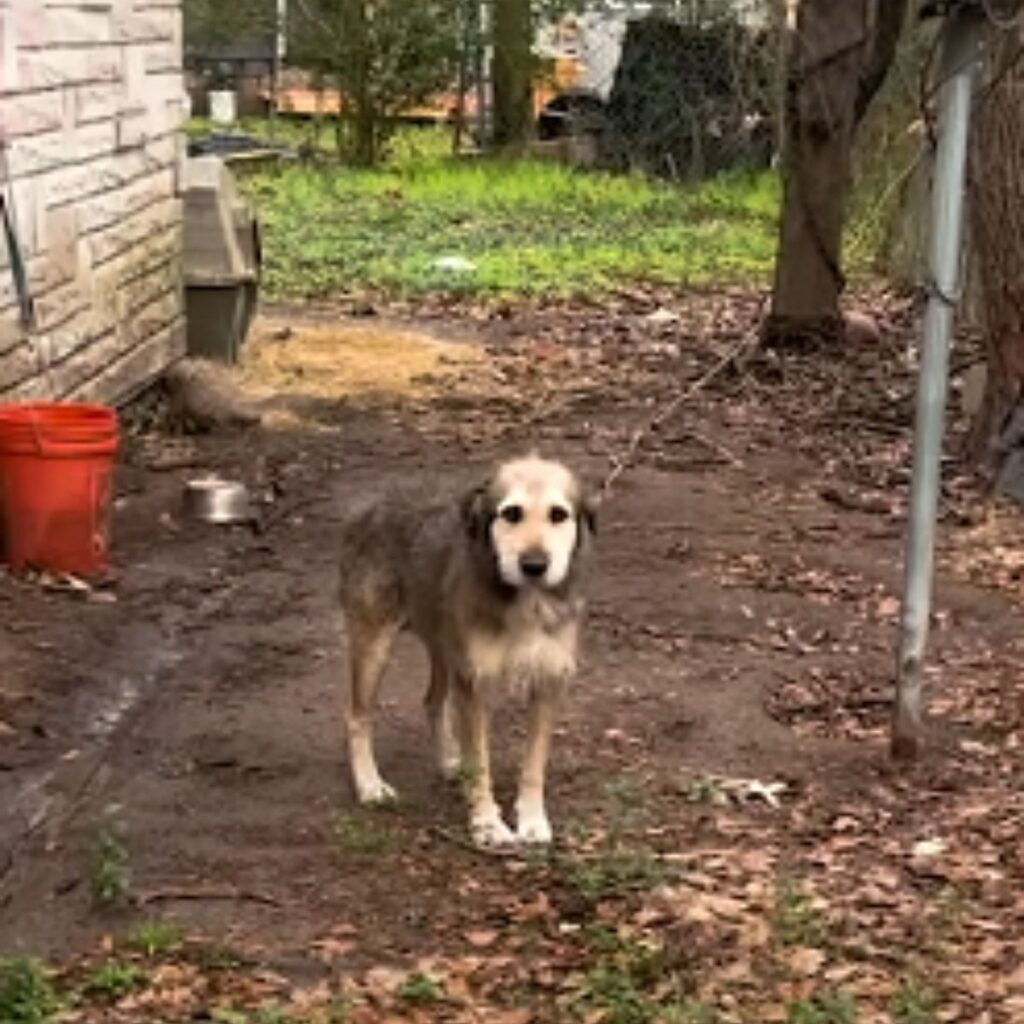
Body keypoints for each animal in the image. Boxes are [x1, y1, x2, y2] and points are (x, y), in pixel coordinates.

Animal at [337, 456, 593, 847]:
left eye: (559, 515)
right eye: (511, 513)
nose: (534, 565)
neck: (526, 600)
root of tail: (371, 501)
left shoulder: (548, 682)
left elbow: (534, 766)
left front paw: (533, 820)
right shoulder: (473, 683)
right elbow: (481, 764)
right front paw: (487, 824)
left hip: (446, 651)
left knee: (432, 700)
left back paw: (447, 762)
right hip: (374, 644)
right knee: (357, 715)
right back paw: (370, 786)